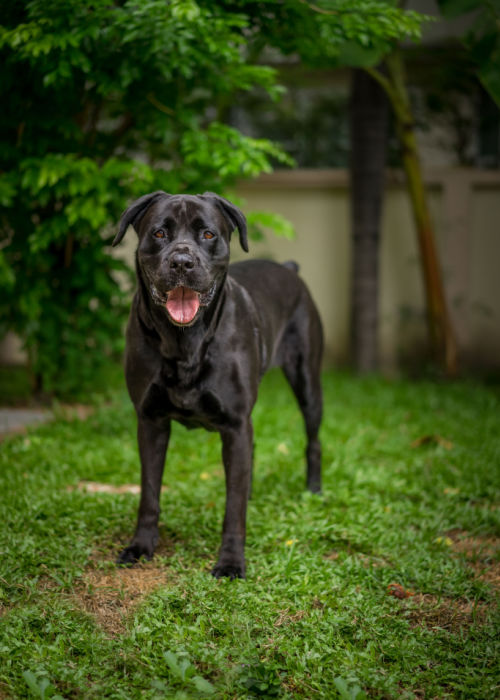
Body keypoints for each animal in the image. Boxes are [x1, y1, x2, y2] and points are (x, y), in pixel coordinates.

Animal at [112, 191, 324, 580]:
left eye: (208, 234)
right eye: (159, 233)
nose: (182, 262)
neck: (185, 342)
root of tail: (290, 269)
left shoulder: (236, 424)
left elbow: (233, 508)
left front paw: (230, 561)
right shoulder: (150, 422)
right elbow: (149, 493)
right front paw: (141, 546)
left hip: (307, 383)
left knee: (313, 441)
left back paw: (313, 491)